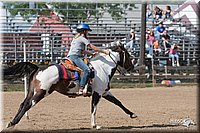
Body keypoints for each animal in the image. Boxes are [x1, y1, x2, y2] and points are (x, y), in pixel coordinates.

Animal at [3, 41, 138, 129]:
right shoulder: (97, 93)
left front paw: (132, 114)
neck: (101, 68)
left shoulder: (104, 92)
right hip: (41, 92)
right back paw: (12, 124)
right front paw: (94, 125)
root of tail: (38, 68)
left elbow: (118, 102)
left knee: (23, 104)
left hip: (32, 91)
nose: (132, 67)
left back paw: (12, 123)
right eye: (127, 54)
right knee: (27, 105)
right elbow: (93, 108)